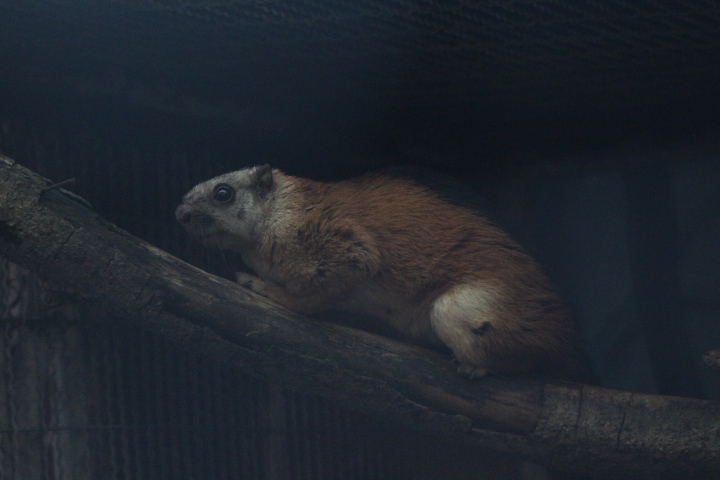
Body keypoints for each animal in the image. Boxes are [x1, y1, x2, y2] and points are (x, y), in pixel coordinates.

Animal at [175, 164, 576, 378]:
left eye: (223, 193)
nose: (179, 214)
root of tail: (568, 341)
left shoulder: (348, 248)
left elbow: (305, 300)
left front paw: (259, 286)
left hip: (456, 309)